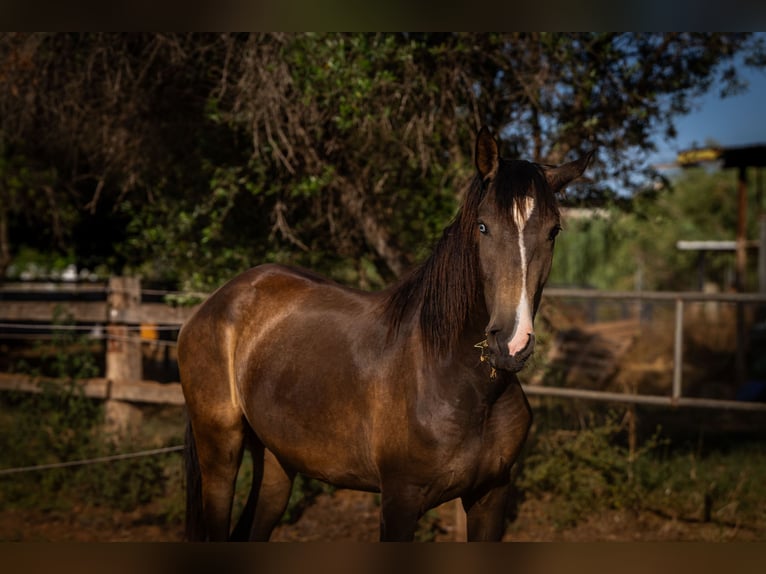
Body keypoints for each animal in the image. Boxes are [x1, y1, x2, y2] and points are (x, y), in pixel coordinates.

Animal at [178, 126, 594, 541]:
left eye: (554, 231)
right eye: (483, 226)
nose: (512, 343)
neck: (457, 380)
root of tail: (216, 301)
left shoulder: (491, 496)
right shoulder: (400, 501)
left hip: (278, 461)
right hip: (220, 451)